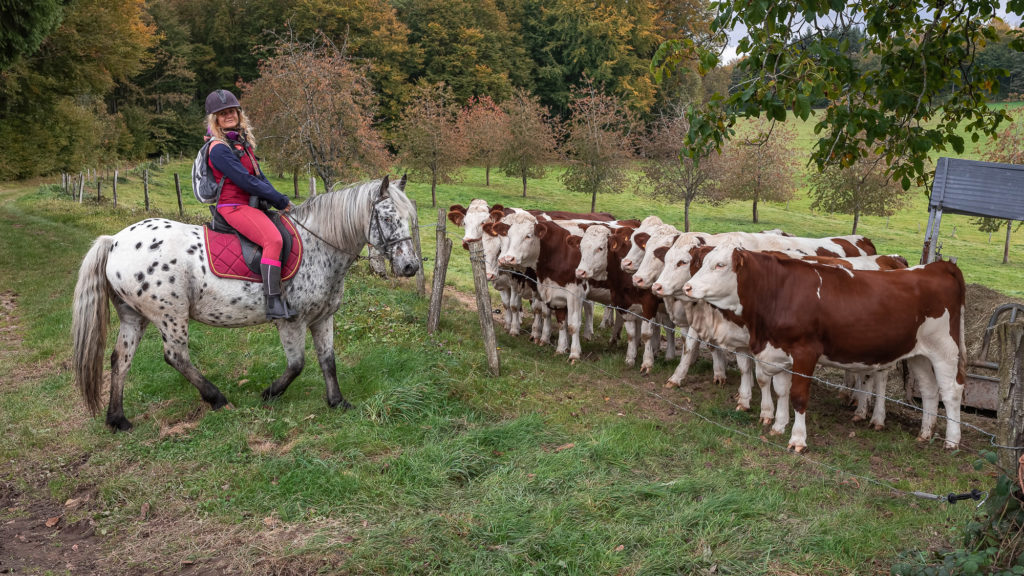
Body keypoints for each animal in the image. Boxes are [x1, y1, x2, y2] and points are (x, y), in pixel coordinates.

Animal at [71, 175, 419, 430]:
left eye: (409, 218)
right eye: (387, 217)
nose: (410, 267)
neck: (318, 245)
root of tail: (115, 241)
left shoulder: (323, 318)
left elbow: (328, 361)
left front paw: (337, 402)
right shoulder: (292, 321)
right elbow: (297, 364)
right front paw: (270, 393)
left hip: (134, 316)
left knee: (121, 360)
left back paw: (118, 419)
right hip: (170, 314)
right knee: (175, 356)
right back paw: (217, 399)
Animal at [684, 243, 962, 450]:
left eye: (720, 265)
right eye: (701, 262)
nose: (687, 287)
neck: (779, 292)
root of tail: (939, 266)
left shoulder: (805, 353)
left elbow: (798, 396)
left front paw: (797, 439)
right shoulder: (779, 351)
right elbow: (781, 390)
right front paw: (778, 426)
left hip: (945, 350)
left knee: (951, 391)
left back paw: (951, 441)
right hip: (919, 354)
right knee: (929, 390)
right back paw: (925, 433)